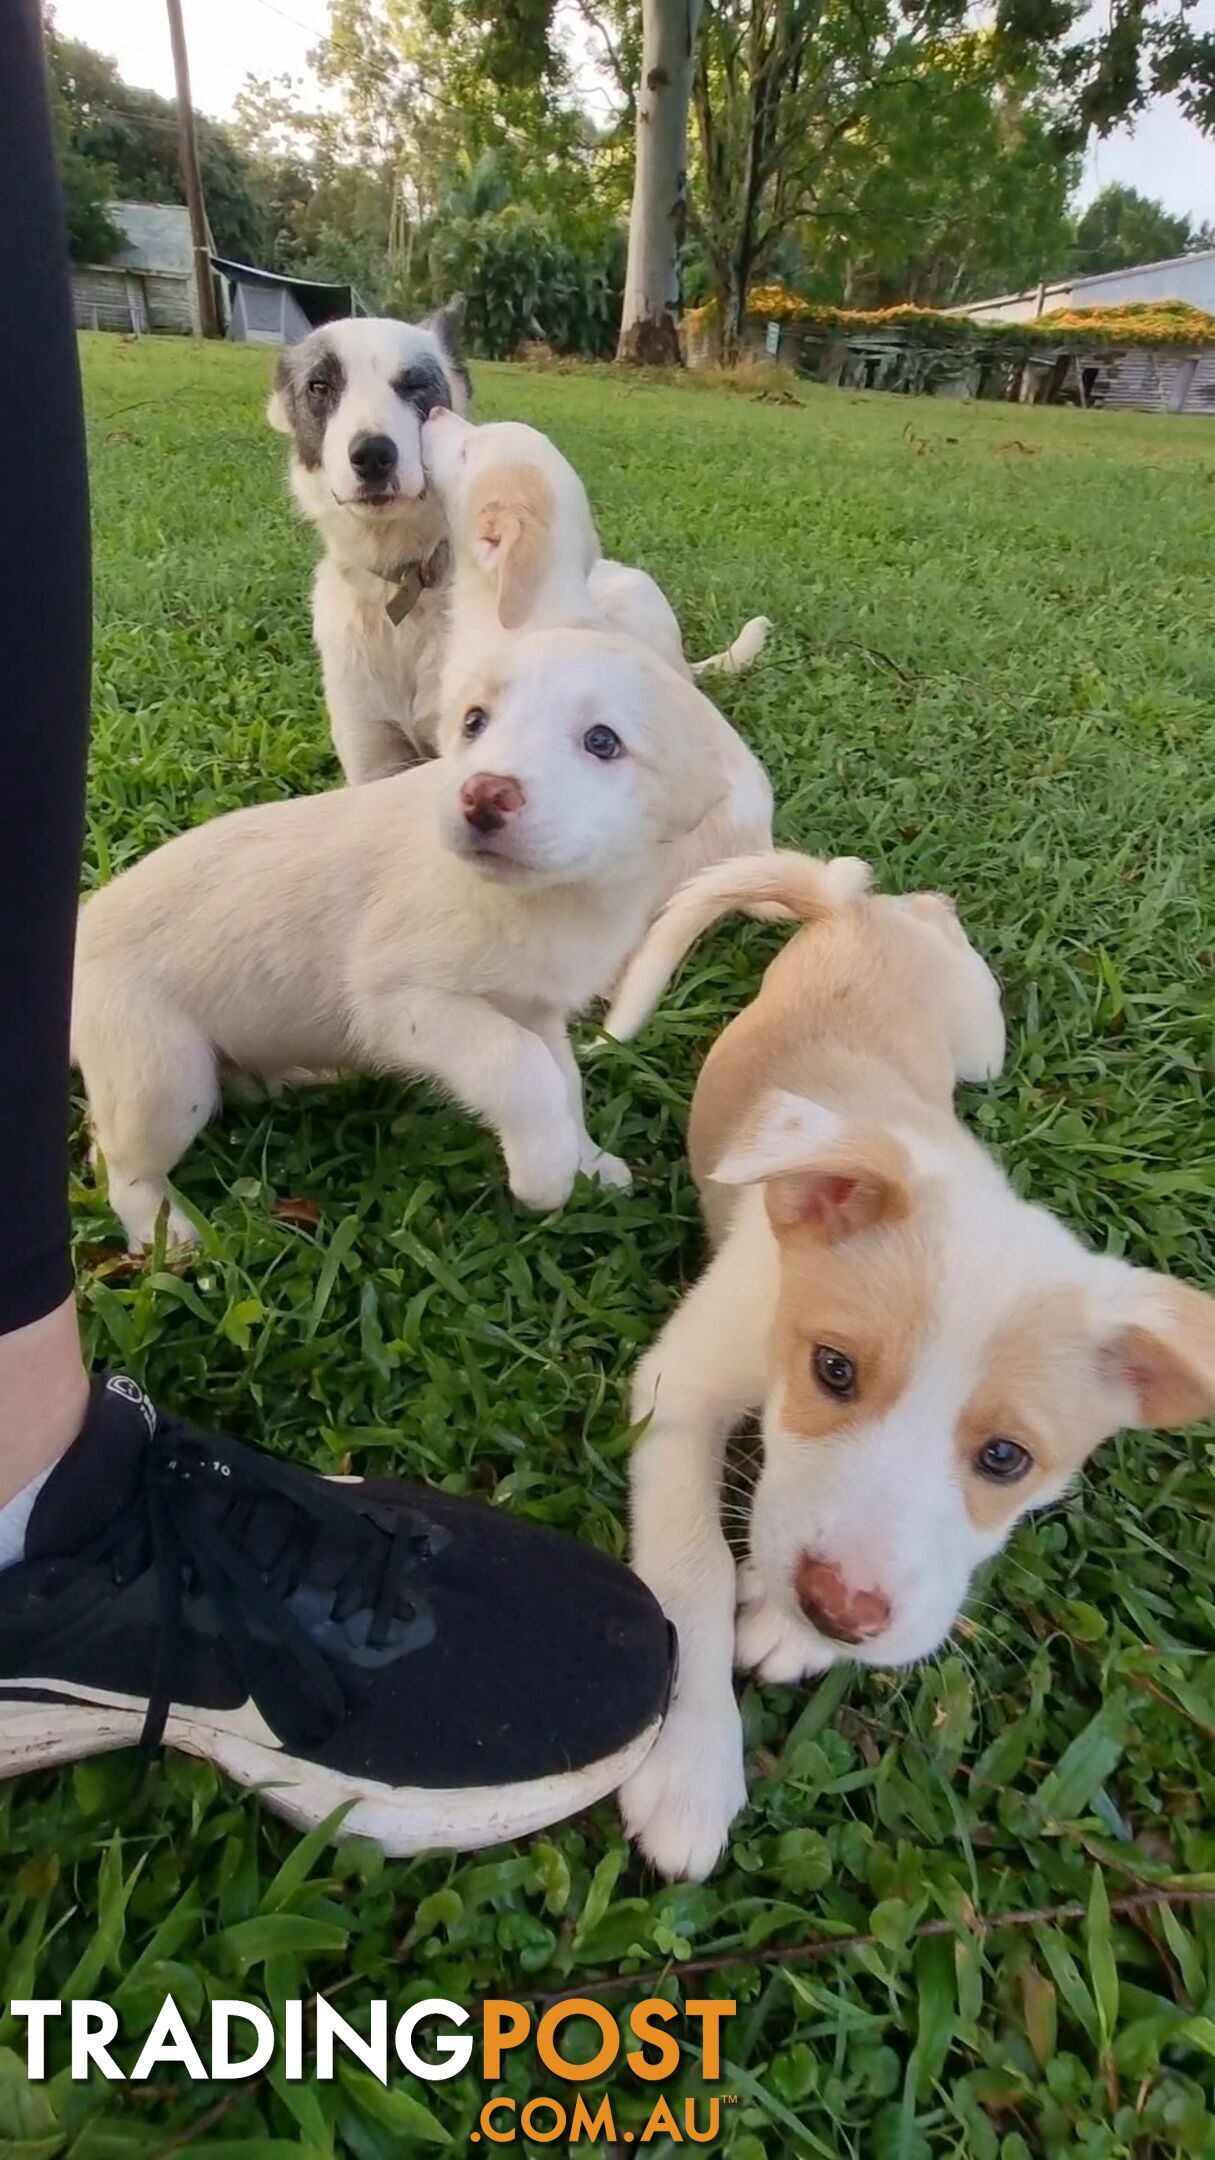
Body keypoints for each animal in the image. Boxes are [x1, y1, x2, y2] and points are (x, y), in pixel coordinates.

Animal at [73, 630, 726, 1252]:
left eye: (602, 742)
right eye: (474, 721)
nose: (482, 795)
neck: (539, 897)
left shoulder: (533, 1010)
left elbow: (563, 1082)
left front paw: (586, 1161)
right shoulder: (402, 1003)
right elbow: (523, 1070)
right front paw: (546, 1175)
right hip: (162, 1076)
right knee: (115, 1161)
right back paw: (164, 1232)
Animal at [605, 851, 1210, 1883]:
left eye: (1005, 1459)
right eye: (832, 1371)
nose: (838, 1610)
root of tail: (853, 916)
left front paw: (786, 1628)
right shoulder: (678, 1387)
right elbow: (692, 1569)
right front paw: (689, 1769)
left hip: (976, 1044)